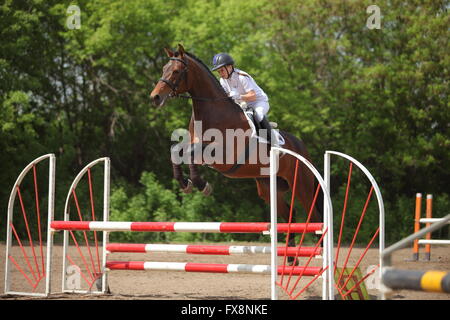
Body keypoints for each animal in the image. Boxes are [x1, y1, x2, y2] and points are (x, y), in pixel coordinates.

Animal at [151, 44, 324, 258]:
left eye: (175, 71)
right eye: (163, 69)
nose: (155, 97)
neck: (212, 109)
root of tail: (302, 146)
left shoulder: (222, 153)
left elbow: (192, 154)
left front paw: (201, 184)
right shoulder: (196, 145)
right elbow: (176, 151)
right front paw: (185, 183)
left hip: (301, 185)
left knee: (314, 216)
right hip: (268, 186)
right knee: (288, 212)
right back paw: (292, 258)